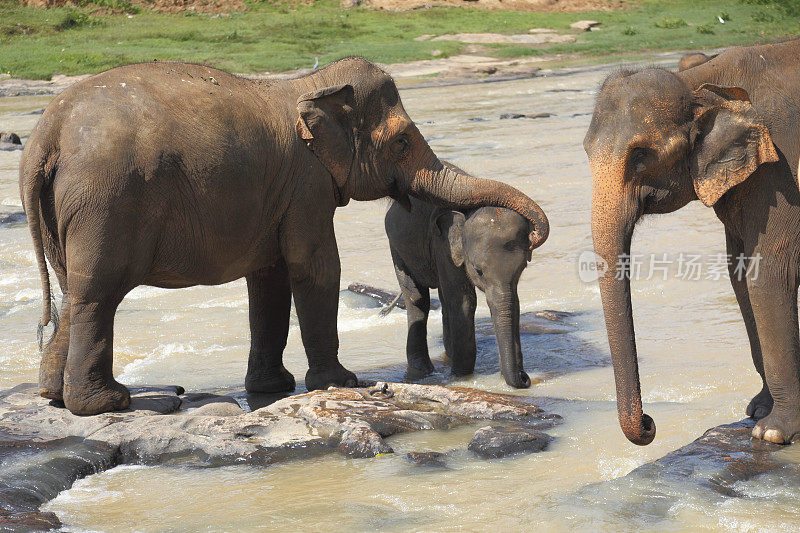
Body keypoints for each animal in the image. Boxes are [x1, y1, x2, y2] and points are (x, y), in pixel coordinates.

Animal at [386, 177, 536, 388]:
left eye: (522, 268)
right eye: (478, 270)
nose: (525, 378)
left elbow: (513, 302)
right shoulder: (443, 245)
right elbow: (464, 301)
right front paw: (461, 376)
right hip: (397, 249)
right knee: (417, 298)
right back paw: (423, 370)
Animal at [580, 38, 800, 444]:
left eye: (640, 156)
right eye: (586, 151)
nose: (649, 422)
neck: (701, 81)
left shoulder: (783, 171)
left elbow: (769, 275)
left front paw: (772, 433)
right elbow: (739, 277)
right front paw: (757, 410)